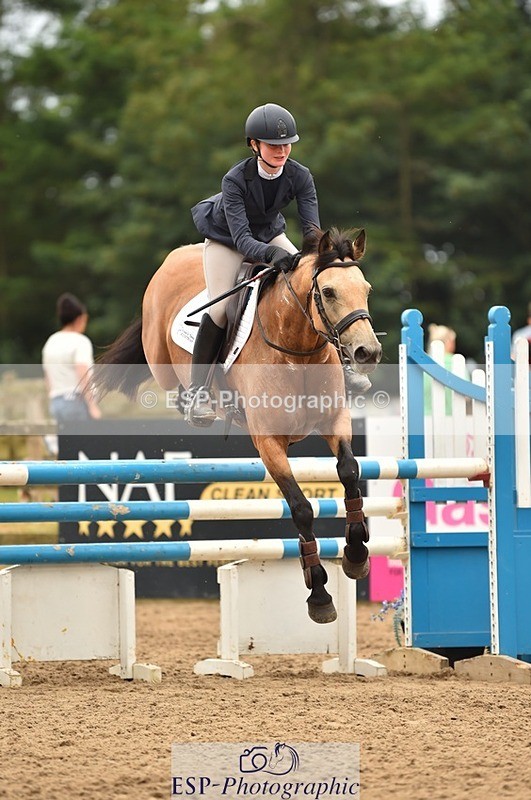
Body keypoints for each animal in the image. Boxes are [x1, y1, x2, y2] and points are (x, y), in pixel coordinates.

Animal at [95, 227, 382, 624]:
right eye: (328, 292)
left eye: (366, 289)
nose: (368, 354)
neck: (297, 349)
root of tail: (175, 257)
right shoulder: (269, 443)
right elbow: (301, 508)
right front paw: (320, 595)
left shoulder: (335, 422)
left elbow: (350, 472)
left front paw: (356, 556)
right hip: (161, 361)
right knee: (178, 374)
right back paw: (196, 404)